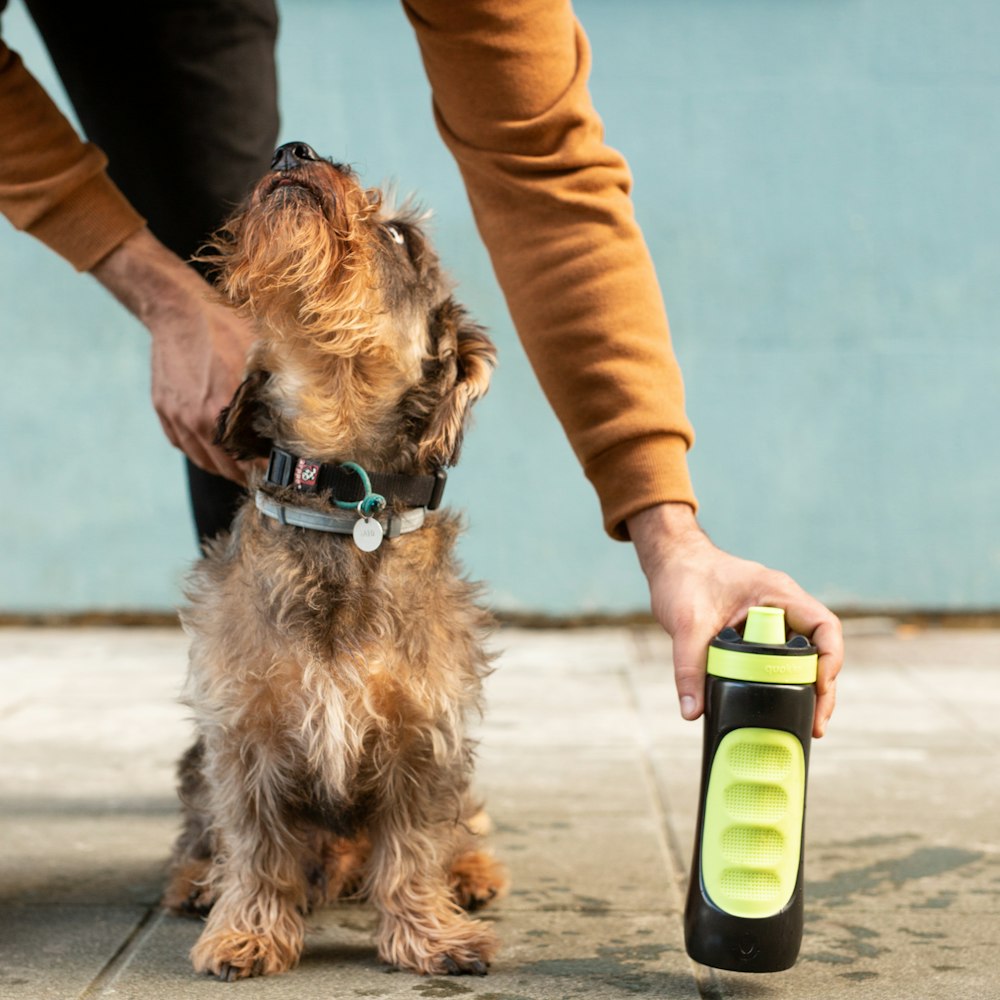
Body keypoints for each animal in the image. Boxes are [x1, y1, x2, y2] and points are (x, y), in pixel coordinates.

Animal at [167, 145, 508, 980]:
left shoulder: (425, 730)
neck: (340, 499)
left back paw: (472, 871)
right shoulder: (244, 731)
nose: (294, 150)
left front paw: (431, 935)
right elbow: (254, 846)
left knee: (458, 825)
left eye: (400, 236)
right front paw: (245, 932)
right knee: (200, 829)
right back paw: (194, 881)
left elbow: (414, 847)